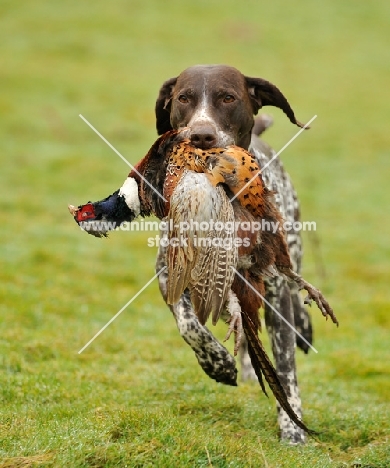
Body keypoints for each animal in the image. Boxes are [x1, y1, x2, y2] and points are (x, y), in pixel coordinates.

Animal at [154, 65, 312, 442]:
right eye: (183, 98)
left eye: (228, 97)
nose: (201, 135)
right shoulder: (168, 275)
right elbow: (189, 325)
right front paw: (218, 363)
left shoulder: (275, 293)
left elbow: (286, 367)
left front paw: (293, 431)